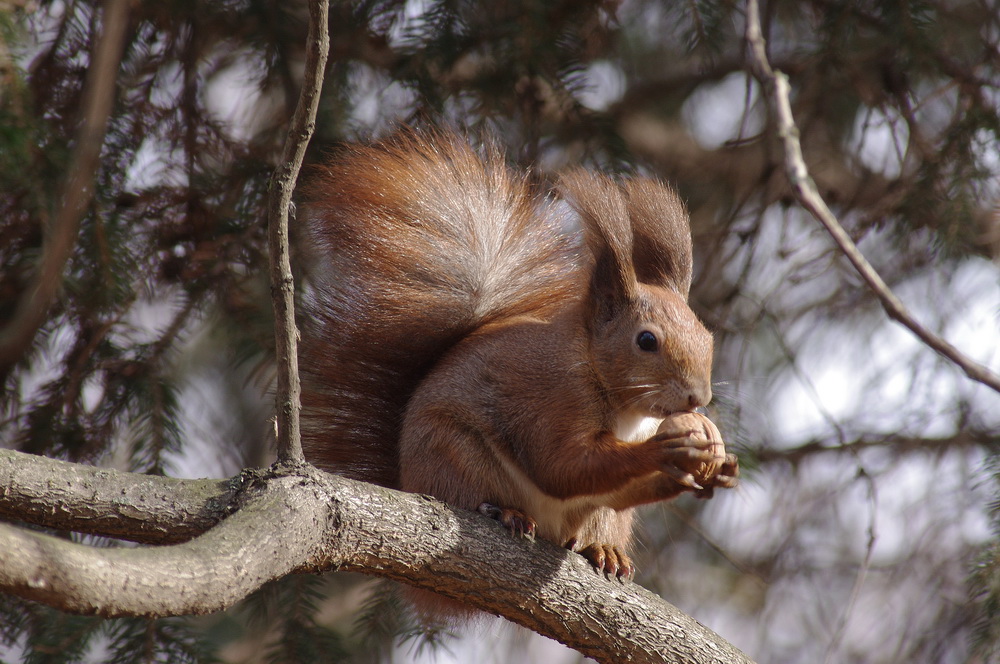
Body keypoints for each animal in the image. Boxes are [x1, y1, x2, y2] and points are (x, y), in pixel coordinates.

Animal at [296, 130, 736, 588]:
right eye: (646, 340)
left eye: (707, 335)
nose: (698, 398)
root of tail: (406, 477)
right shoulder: (554, 397)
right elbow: (561, 466)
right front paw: (664, 452)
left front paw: (710, 468)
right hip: (453, 453)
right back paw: (503, 511)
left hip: (601, 517)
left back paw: (605, 549)